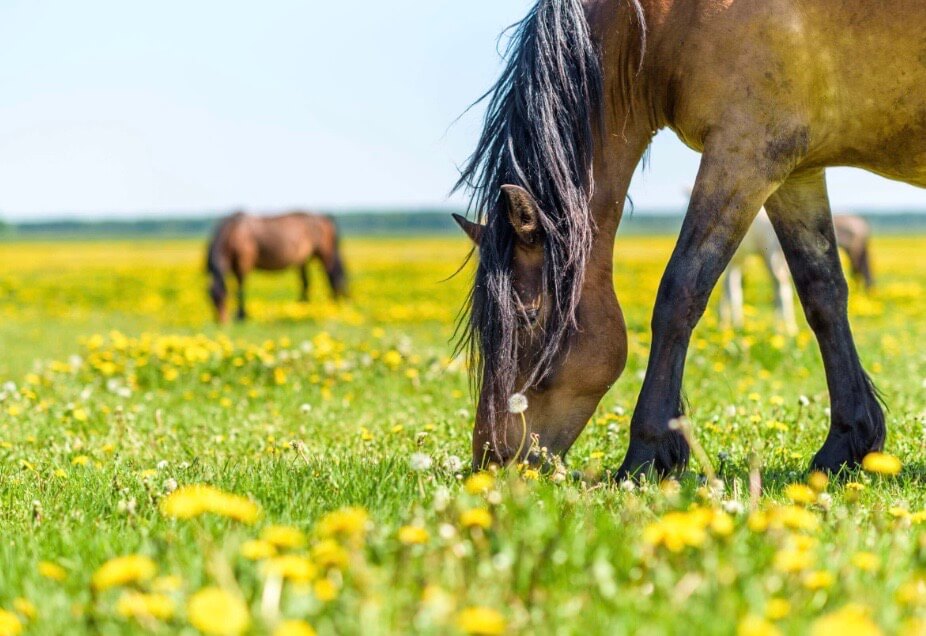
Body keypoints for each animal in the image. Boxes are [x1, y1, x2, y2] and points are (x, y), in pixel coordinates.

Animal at [206, 211, 347, 323]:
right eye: (211, 300)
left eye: (224, 298)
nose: (221, 322)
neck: (234, 232)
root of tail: (324, 218)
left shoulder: (243, 263)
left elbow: (241, 288)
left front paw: (242, 315)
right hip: (304, 259)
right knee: (306, 281)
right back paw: (301, 307)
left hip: (325, 254)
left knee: (331, 276)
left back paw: (333, 304)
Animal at [720, 211, 875, 334]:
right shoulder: (737, 261)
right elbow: (732, 290)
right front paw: (732, 323)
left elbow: (731, 290)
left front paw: (727, 323)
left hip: (772, 256)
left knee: (781, 288)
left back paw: (784, 327)